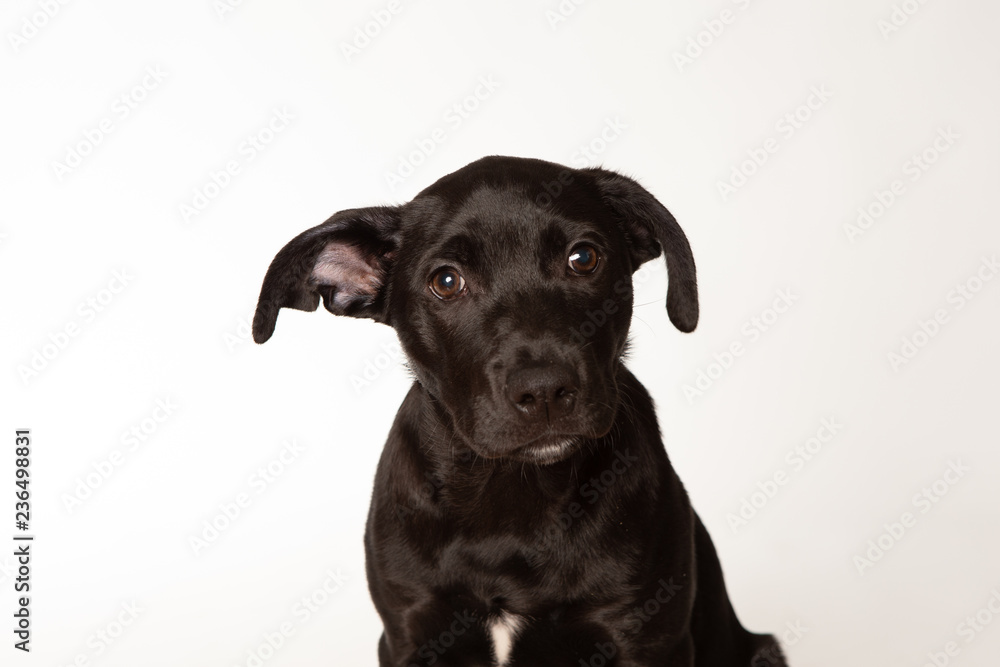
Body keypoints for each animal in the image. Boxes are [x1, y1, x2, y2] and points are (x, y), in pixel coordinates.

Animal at [250, 157, 780, 667]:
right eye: (446, 281)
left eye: (583, 258)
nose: (544, 391)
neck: (511, 499)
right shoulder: (410, 634)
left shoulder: (645, 637)